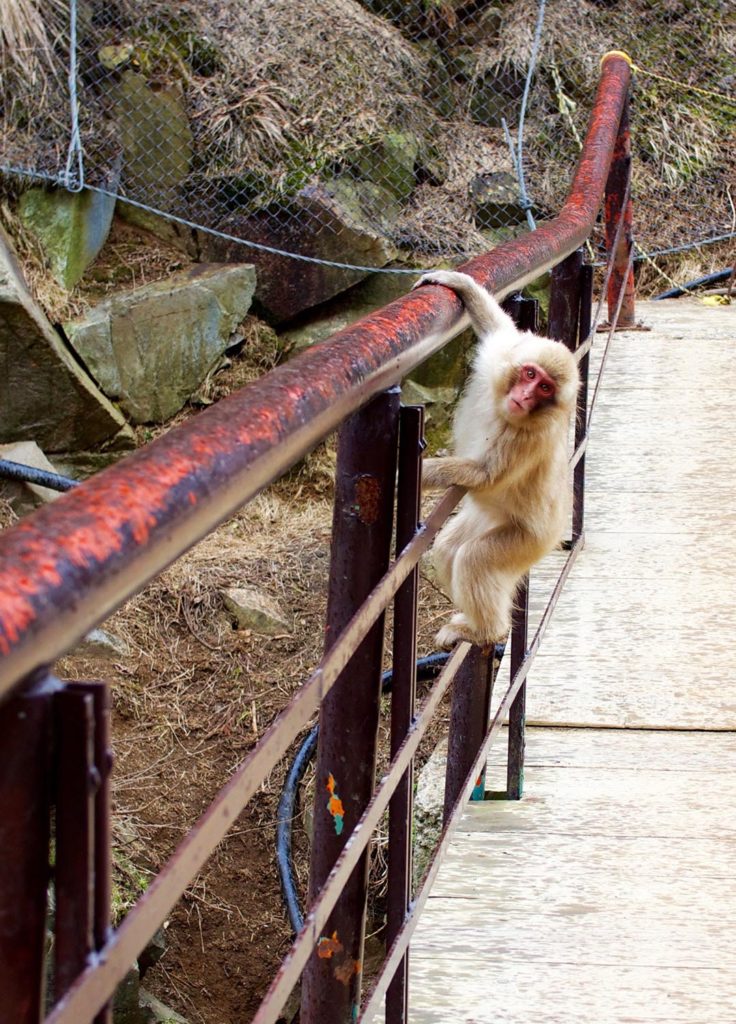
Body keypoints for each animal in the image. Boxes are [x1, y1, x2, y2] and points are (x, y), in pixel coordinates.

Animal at [412, 270, 579, 649]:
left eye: (545, 389)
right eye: (530, 374)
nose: (525, 395)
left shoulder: (527, 439)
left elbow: (486, 474)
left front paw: (417, 473)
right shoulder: (502, 354)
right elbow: (499, 328)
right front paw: (458, 283)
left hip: (528, 541)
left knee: (475, 560)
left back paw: (486, 631)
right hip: (484, 518)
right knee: (448, 548)